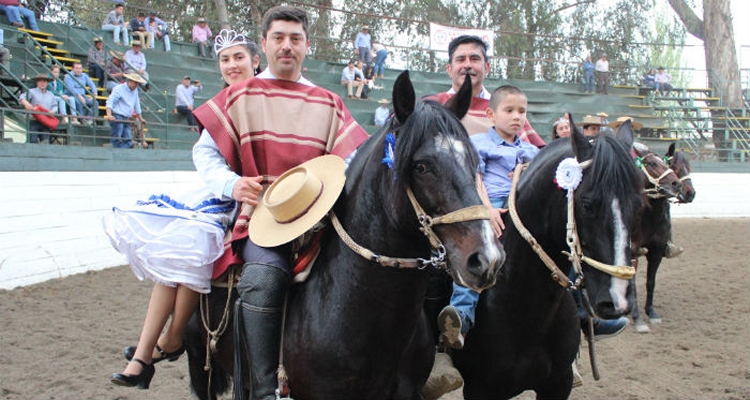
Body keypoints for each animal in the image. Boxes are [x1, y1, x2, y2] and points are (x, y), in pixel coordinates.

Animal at [632, 142, 696, 332]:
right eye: (674, 166)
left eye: (688, 167)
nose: (689, 193)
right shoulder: (632, 252)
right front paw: (637, 319)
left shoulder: (657, 251)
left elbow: (650, 281)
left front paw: (651, 312)